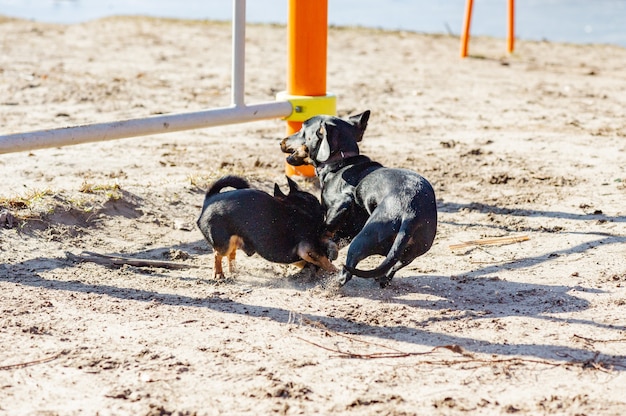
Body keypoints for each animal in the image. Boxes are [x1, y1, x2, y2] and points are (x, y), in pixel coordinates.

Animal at [196, 176, 336, 280]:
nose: (324, 208)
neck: (299, 208)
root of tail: (209, 198)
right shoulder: (308, 248)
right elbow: (324, 260)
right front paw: (335, 271)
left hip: (233, 240)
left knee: (231, 254)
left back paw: (234, 271)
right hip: (224, 244)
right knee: (217, 254)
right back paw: (218, 274)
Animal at [280, 109, 436, 288]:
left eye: (303, 129)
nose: (281, 142)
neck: (339, 162)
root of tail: (410, 214)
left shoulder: (341, 204)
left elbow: (324, 231)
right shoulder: (348, 229)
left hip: (363, 239)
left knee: (347, 271)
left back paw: (334, 283)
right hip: (408, 253)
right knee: (392, 266)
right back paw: (381, 279)